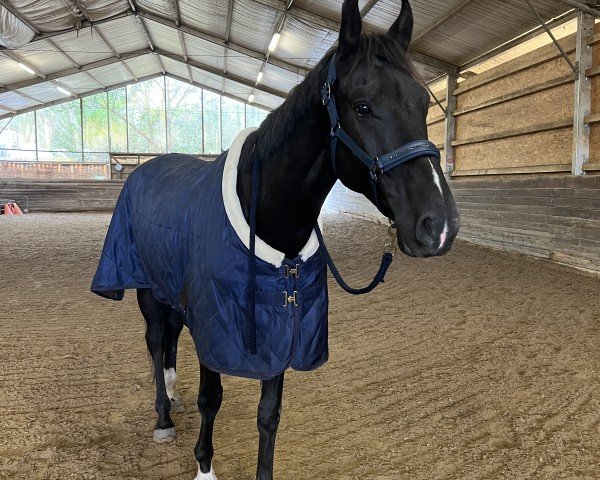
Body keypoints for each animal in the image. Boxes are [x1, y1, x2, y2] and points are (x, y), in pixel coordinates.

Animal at [97, 1, 460, 478]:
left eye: (422, 103)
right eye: (362, 106)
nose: (440, 226)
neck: (268, 218)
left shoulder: (283, 329)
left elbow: (269, 414)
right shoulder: (215, 328)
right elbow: (211, 400)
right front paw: (204, 466)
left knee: (170, 339)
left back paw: (172, 396)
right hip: (145, 289)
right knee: (157, 343)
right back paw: (162, 417)